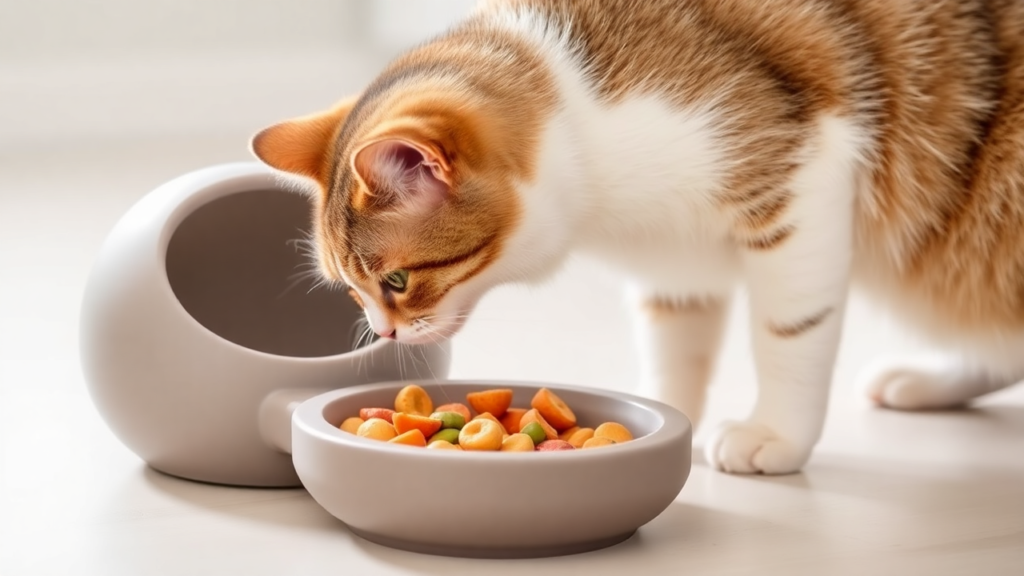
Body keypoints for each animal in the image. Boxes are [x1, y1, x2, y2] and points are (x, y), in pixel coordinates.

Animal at [245, 0, 1024, 473]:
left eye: (398, 280)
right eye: (352, 289)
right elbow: (674, 346)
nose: (384, 334)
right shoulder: (670, 259)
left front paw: (773, 432)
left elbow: (789, 336)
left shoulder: (802, 180)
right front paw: (662, 414)